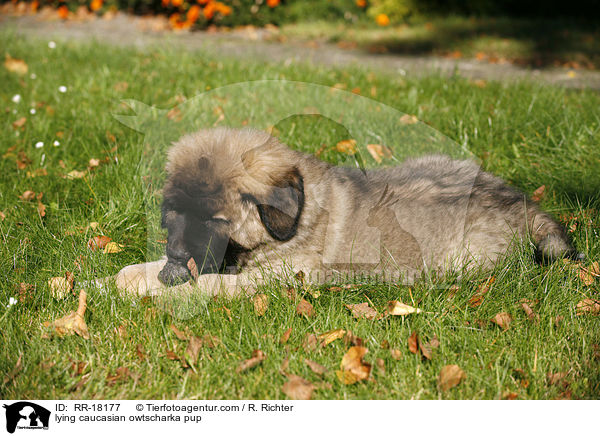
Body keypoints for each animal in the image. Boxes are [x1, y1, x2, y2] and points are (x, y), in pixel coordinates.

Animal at [113, 127, 576, 296]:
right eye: (172, 214)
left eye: (216, 221)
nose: (175, 256)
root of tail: (520, 201)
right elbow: (131, 270)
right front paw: (110, 284)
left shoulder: (278, 277)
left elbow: (204, 286)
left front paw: (153, 295)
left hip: (465, 260)